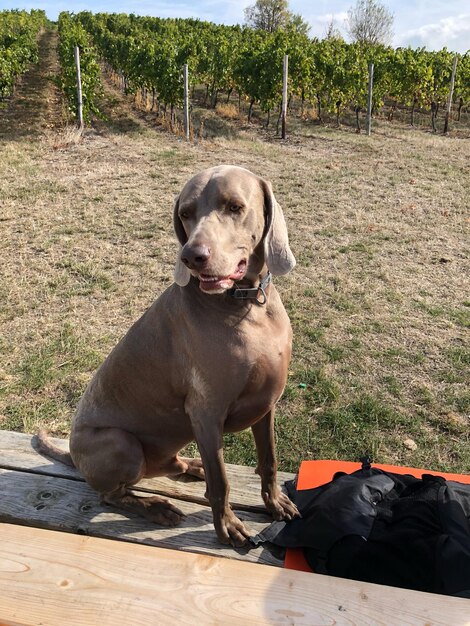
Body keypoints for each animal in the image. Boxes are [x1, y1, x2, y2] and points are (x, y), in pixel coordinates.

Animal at [38, 165, 300, 540]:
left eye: (235, 207)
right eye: (185, 213)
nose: (191, 256)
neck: (246, 305)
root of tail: (75, 458)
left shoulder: (266, 403)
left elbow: (269, 460)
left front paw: (275, 502)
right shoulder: (205, 411)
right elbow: (221, 482)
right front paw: (227, 525)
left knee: (170, 465)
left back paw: (191, 466)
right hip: (121, 443)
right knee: (109, 496)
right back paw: (155, 507)